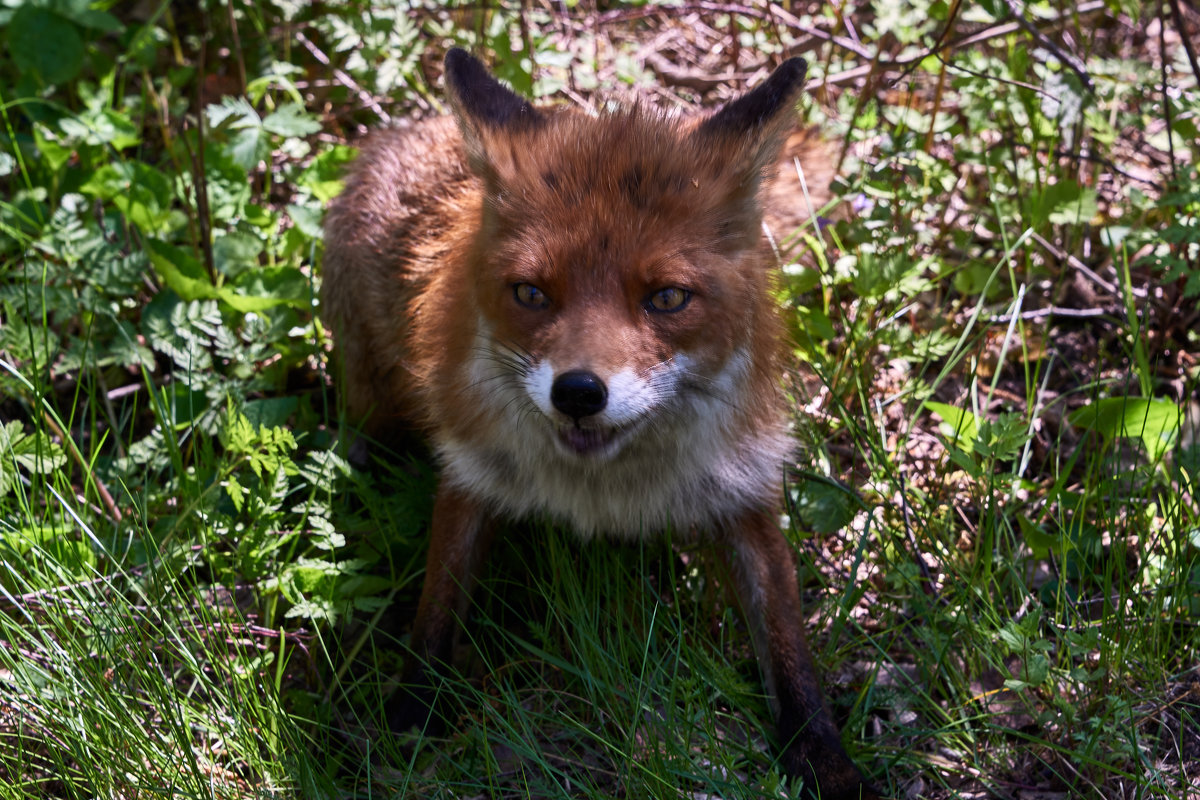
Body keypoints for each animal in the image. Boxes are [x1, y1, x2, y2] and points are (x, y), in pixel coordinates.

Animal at [324, 48, 878, 800]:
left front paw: (824, 760)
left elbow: (789, 648)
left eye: (667, 298)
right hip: (371, 383)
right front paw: (414, 716)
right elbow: (436, 610)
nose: (579, 393)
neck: (606, 488)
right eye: (531, 292)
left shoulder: (743, 487)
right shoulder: (471, 470)